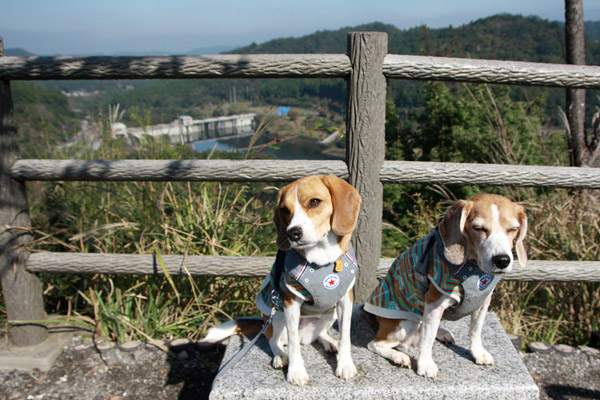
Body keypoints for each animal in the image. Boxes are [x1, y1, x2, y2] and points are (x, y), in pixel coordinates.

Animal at [202, 173, 360, 386]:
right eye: (285, 210)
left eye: (315, 202)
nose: (292, 233)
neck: (322, 259)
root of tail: (305, 336)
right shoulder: (290, 302)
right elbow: (292, 344)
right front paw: (296, 371)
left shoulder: (345, 300)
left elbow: (345, 335)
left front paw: (345, 364)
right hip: (276, 316)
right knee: (274, 341)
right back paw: (280, 356)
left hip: (329, 315)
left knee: (319, 335)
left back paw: (328, 342)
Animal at [360, 194, 524, 378]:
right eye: (479, 228)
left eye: (513, 229)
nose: (502, 260)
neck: (473, 267)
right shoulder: (434, 303)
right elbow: (427, 339)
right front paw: (425, 365)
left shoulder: (483, 303)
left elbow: (476, 330)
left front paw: (477, 353)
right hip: (405, 324)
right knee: (375, 343)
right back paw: (399, 356)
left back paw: (442, 333)